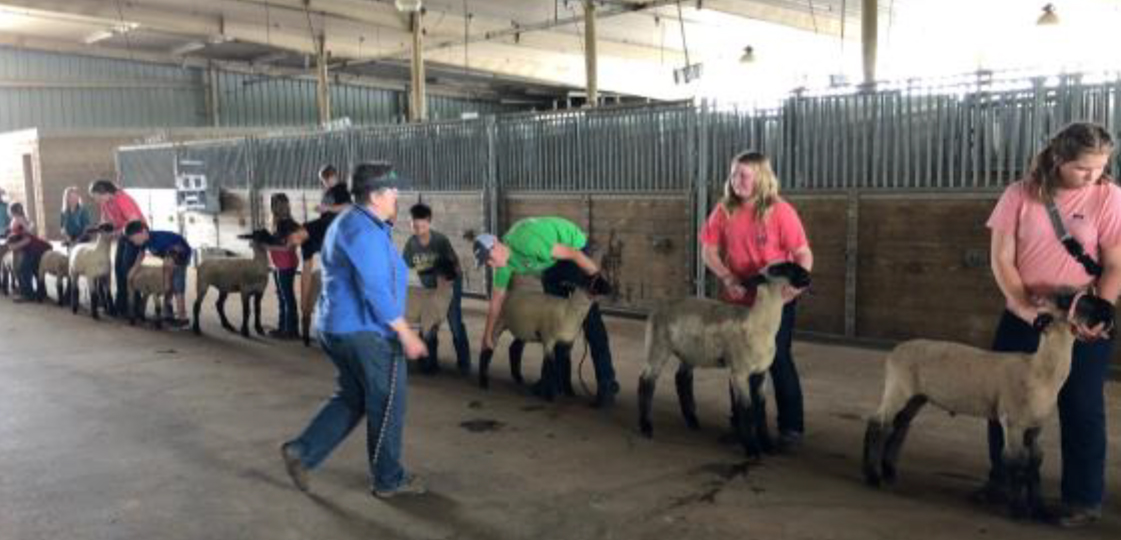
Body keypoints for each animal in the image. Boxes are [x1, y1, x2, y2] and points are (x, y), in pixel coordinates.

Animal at [636, 261, 811, 454]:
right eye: (778, 269)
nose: (807, 276)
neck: (757, 323)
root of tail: (658, 306)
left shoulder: (761, 373)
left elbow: (760, 409)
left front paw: (767, 445)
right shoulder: (739, 372)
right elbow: (746, 409)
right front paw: (752, 449)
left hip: (690, 351)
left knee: (682, 379)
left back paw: (692, 421)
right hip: (658, 346)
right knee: (646, 382)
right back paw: (646, 427)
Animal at [856, 293, 1112, 522]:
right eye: (1070, 301)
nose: (1109, 311)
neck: (1040, 371)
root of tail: (895, 351)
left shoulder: (1034, 429)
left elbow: (1034, 464)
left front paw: (1040, 510)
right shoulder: (1013, 422)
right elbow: (1016, 463)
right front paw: (1019, 511)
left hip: (916, 397)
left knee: (898, 427)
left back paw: (889, 472)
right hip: (898, 387)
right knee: (878, 424)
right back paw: (872, 476)